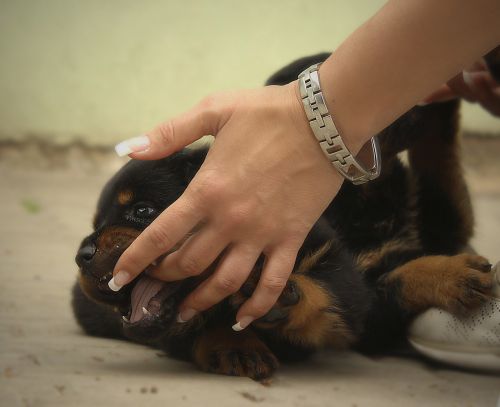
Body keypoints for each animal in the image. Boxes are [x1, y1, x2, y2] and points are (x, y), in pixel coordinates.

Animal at [72, 51, 498, 382]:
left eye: (142, 211)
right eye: (97, 223)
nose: (82, 255)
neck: (360, 203)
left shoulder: (366, 279)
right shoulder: (373, 313)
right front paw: (235, 342)